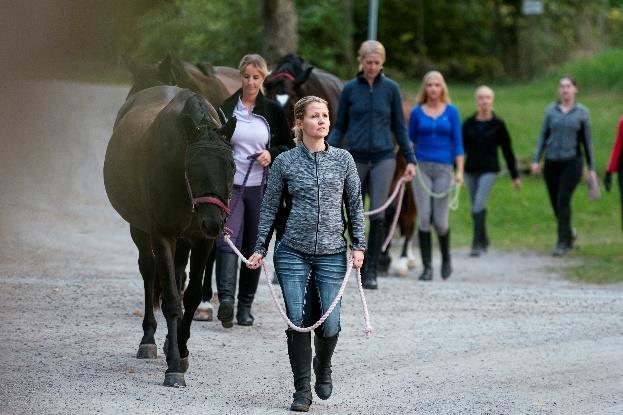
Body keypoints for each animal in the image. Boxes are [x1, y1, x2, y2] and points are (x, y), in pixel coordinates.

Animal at [105, 79, 236, 388]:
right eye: (192, 167)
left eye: (232, 166)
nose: (214, 222)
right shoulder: (162, 234)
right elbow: (172, 300)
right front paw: (174, 366)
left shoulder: (201, 241)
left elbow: (190, 296)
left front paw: (182, 350)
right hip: (141, 230)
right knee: (149, 272)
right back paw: (150, 339)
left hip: (185, 238)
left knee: (178, 275)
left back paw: (168, 341)